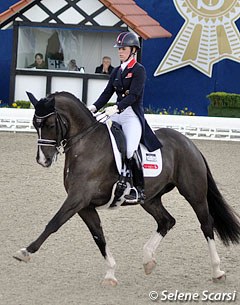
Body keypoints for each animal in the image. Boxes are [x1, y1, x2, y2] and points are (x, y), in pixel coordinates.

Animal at [14, 90, 240, 284]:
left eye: (51, 125)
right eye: (34, 124)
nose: (43, 160)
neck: (85, 144)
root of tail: (189, 143)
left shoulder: (77, 198)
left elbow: (54, 223)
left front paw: (25, 252)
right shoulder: (85, 205)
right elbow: (98, 236)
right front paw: (110, 273)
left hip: (194, 193)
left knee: (206, 224)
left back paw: (217, 271)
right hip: (150, 199)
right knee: (166, 221)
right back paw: (148, 260)